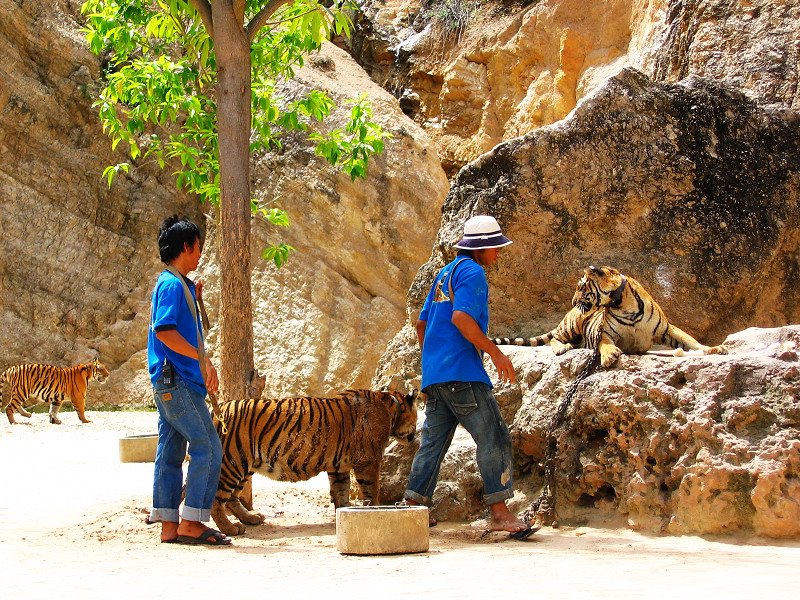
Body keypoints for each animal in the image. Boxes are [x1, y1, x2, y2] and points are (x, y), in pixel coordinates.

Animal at [209, 386, 422, 536]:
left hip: (245, 465)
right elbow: (372, 491)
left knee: (231, 499)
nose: (414, 436)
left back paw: (250, 518)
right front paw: (375, 510)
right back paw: (230, 529)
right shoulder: (368, 462)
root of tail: (218, 409)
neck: (391, 408)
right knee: (217, 500)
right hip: (232, 463)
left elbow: (341, 492)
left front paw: (343, 513)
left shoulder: (339, 467)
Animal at [490, 266, 728, 368]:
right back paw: (563, 348)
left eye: (580, 287)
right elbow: (605, 344)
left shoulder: (666, 329)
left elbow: (691, 341)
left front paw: (714, 349)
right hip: (572, 324)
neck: (623, 303)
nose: (572, 301)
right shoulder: (604, 333)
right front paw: (609, 356)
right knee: (556, 338)